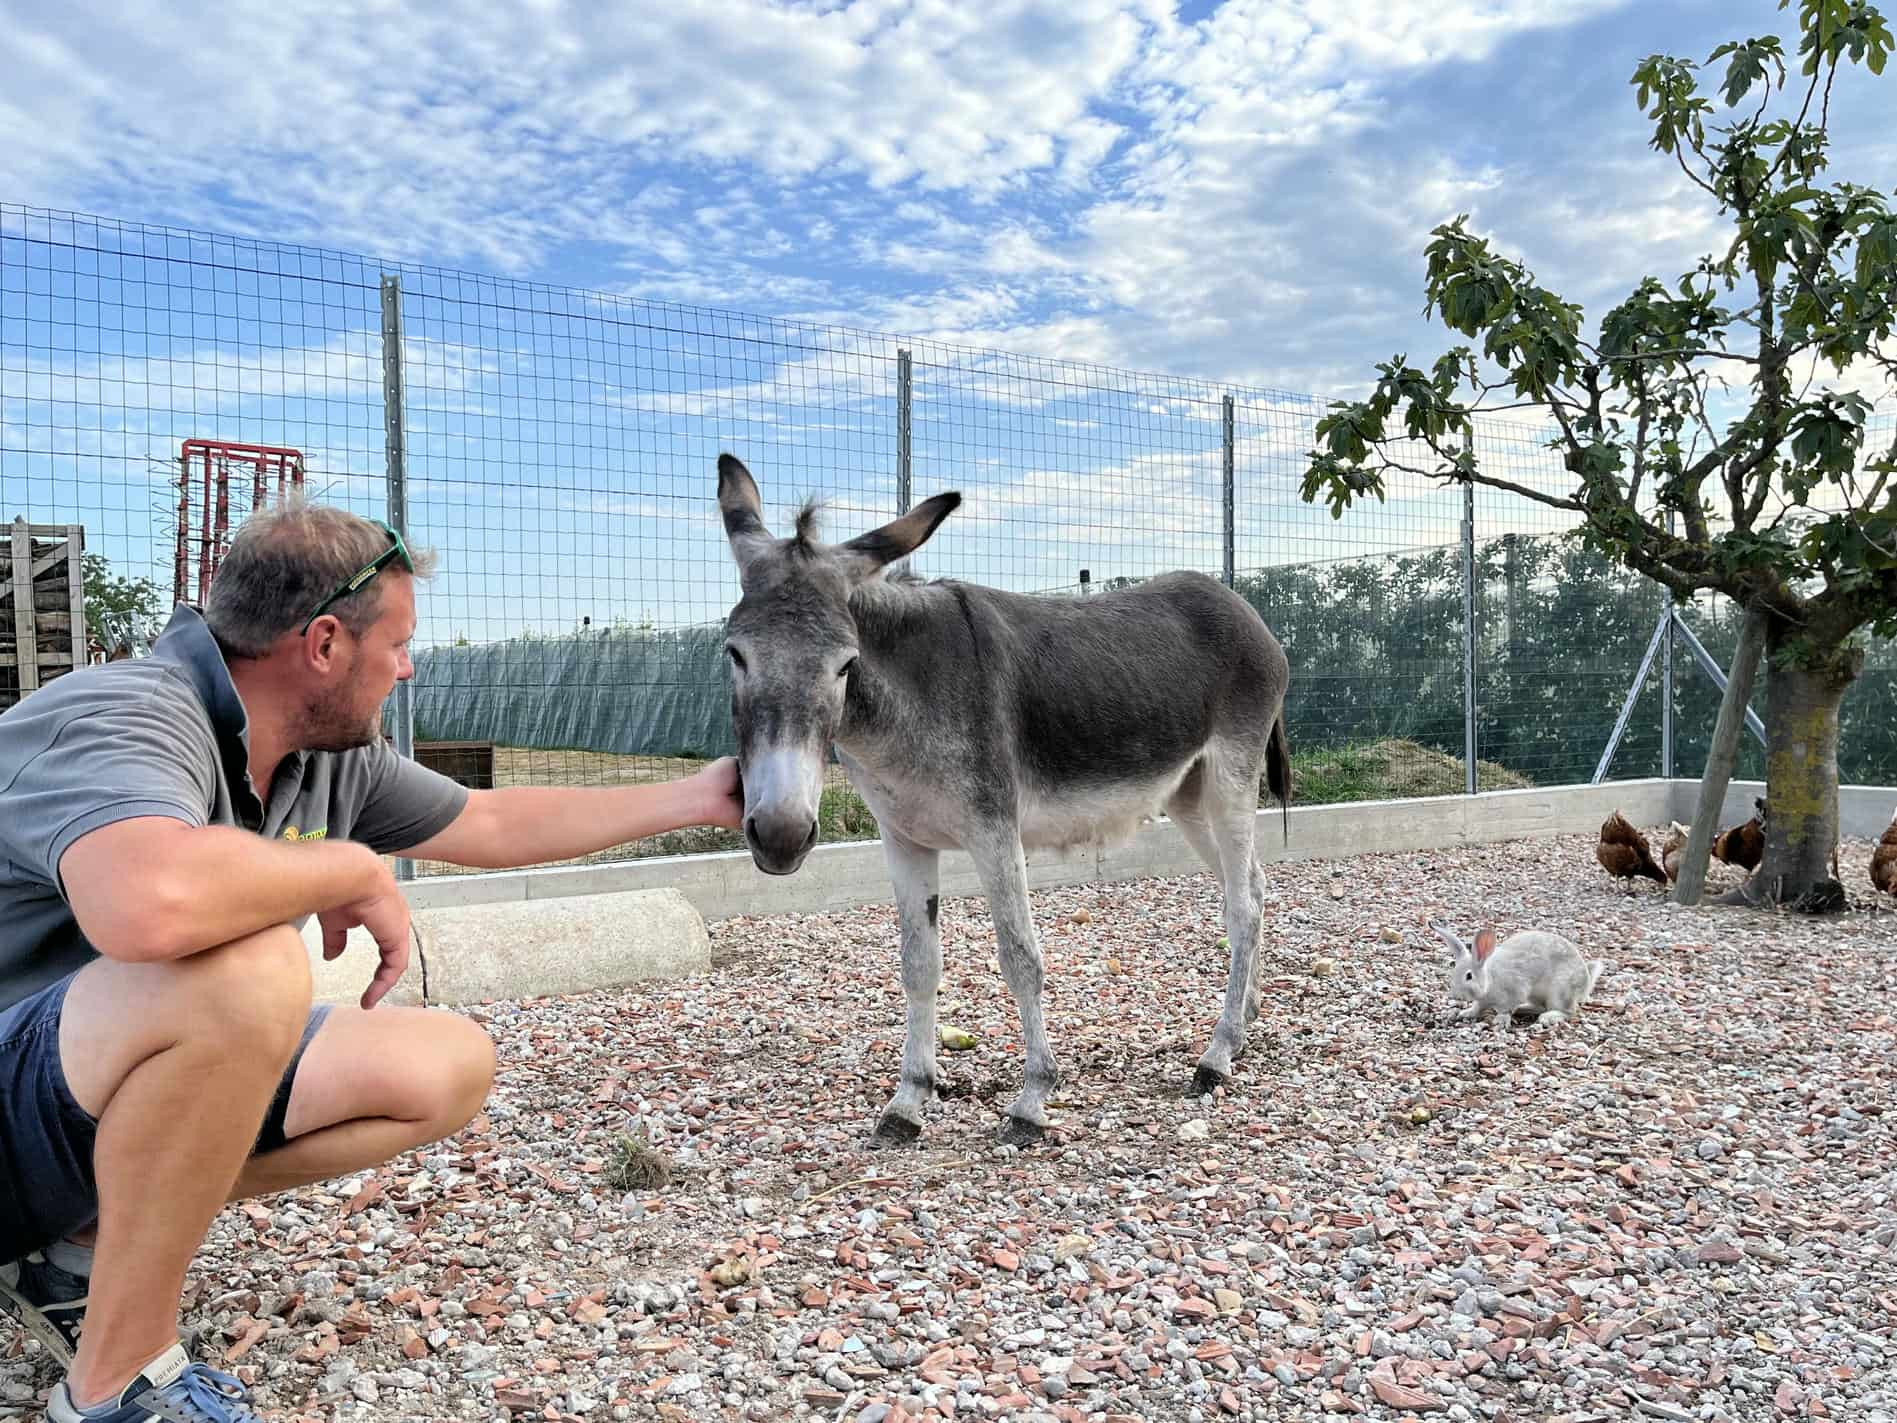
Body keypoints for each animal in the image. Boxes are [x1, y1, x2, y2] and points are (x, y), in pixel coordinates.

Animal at [1426, 925, 1608, 1039]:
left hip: (1560, 991)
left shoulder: (1515, 991)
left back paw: (1547, 1017)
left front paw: (1500, 1021)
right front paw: (1466, 1013)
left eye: (1469, 976)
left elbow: (1506, 1009)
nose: (1455, 996)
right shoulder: (1482, 1000)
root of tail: (1586, 982)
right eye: (1453, 972)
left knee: (1568, 1012)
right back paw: (1523, 1009)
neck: (1490, 979)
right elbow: (1477, 1007)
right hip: (1537, 995)